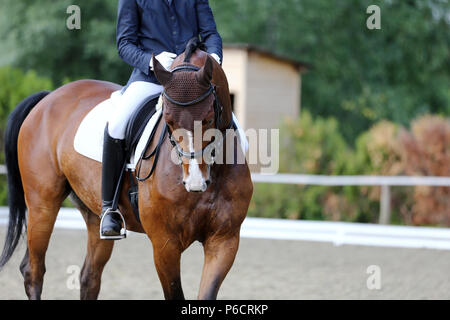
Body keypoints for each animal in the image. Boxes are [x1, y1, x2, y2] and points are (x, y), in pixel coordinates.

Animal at [0, 47, 253, 300]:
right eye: (169, 121)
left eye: (209, 118)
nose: (195, 182)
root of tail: (49, 97)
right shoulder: (165, 244)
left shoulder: (224, 240)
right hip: (42, 205)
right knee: (33, 271)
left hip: (93, 215)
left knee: (89, 276)